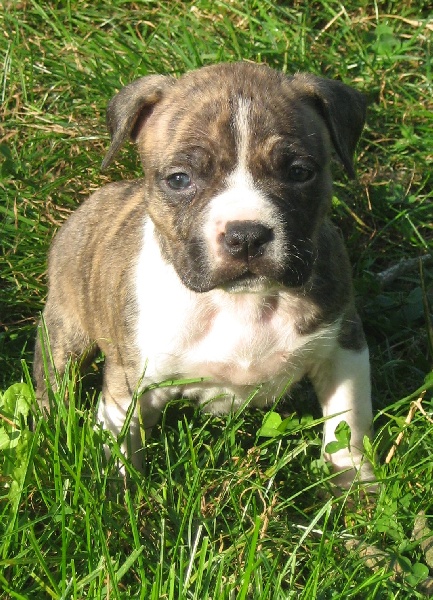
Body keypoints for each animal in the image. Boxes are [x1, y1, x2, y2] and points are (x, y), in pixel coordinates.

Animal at [34, 62, 374, 486]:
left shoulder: (343, 346)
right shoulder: (128, 383)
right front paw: (119, 492)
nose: (246, 236)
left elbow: (349, 424)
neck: (240, 302)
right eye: (179, 179)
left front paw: (355, 484)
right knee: (53, 381)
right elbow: (121, 442)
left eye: (299, 173)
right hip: (65, 331)